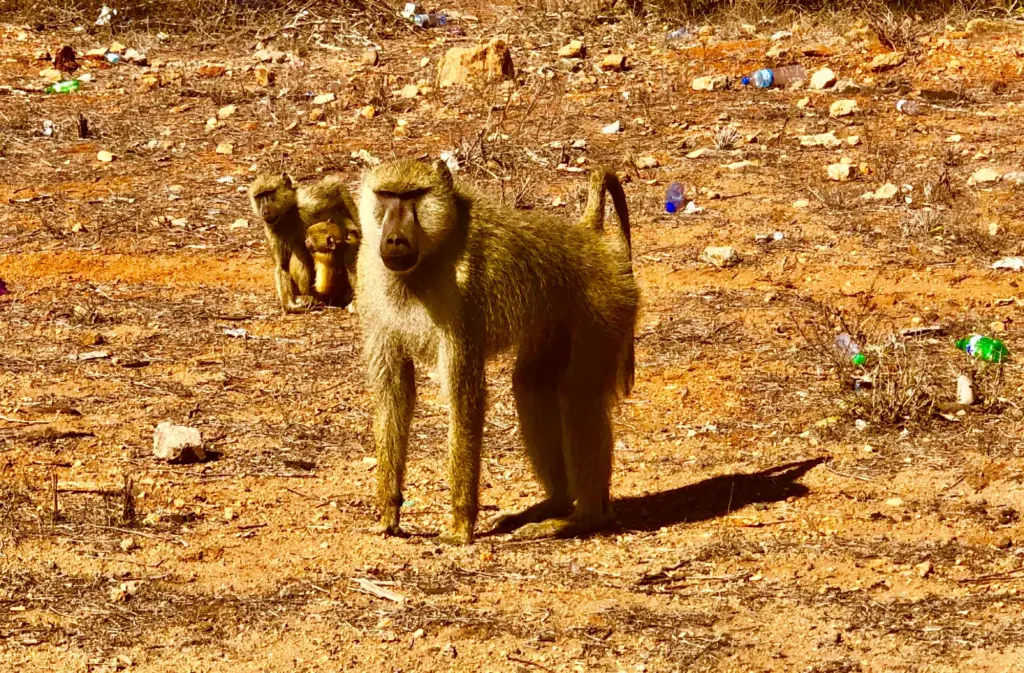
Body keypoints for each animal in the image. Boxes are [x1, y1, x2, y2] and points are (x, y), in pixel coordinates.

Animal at [356, 159, 638, 545]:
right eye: (385, 196)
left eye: (414, 195)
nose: (395, 239)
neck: (428, 259)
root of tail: (590, 236)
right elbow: (394, 393)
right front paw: (388, 510)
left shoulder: (464, 301)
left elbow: (464, 397)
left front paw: (460, 526)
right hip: (554, 319)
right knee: (531, 384)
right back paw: (555, 503)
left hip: (604, 305)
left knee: (579, 396)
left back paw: (584, 518)